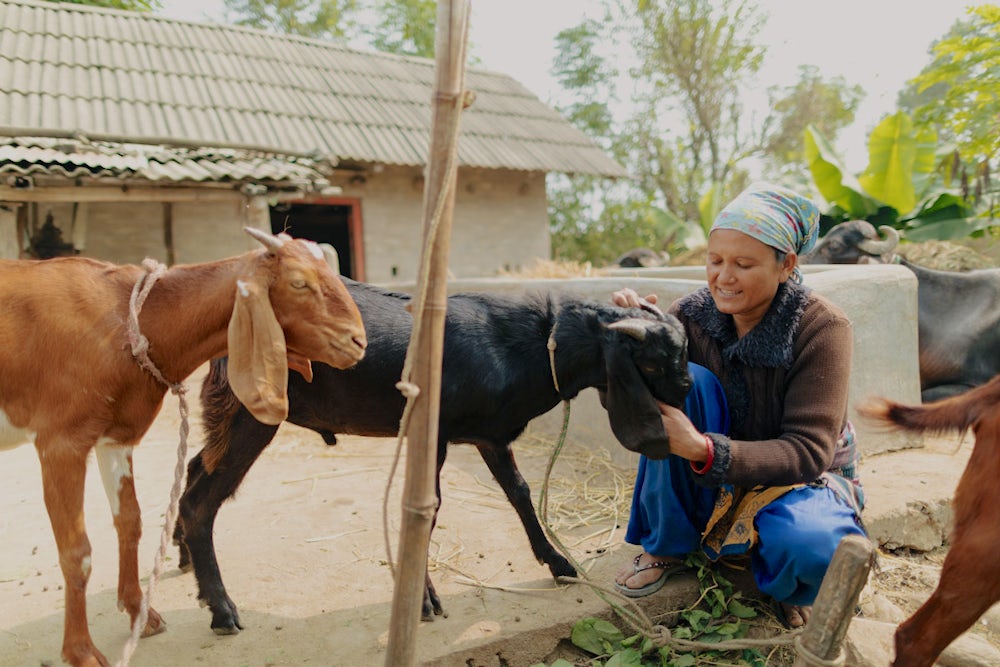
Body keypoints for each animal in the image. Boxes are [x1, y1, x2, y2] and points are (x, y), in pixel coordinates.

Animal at [0, 227, 368, 664]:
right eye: (299, 283)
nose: (358, 341)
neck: (126, 320)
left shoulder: (116, 437)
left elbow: (131, 522)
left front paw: (140, 613)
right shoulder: (61, 442)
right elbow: (77, 552)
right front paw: (81, 651)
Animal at [176, 280, 692, 636]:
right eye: (651, 361)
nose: (687, 389)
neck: (522, 347)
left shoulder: (490, 436)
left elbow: (519, 493)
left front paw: (559, 563)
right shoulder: (434, 432)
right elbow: (430, 506)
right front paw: (422, 600)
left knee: (193, 470)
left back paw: (186, 564)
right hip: (251, 415)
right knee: (202, 501)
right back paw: (222, 610)